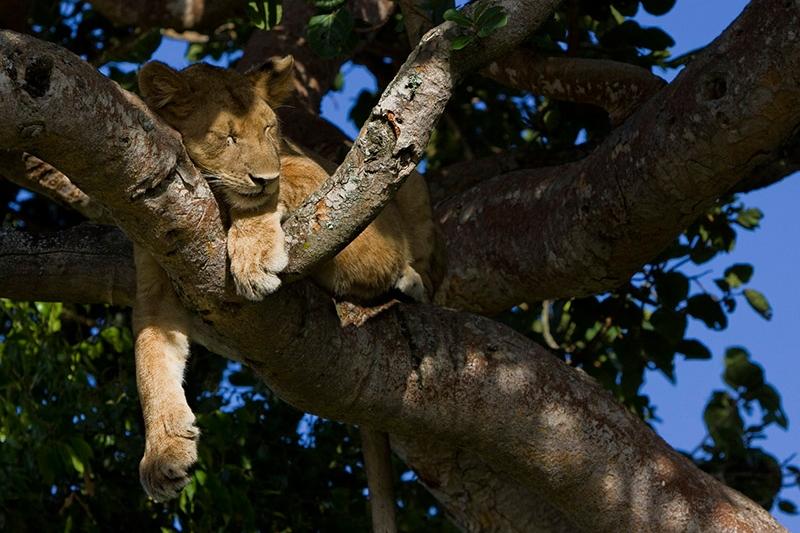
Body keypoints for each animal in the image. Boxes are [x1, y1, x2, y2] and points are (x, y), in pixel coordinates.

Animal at [133, 56, 444, 500]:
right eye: (227, 137)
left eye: (268, 129)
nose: (261, 177)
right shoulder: (153, 289)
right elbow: (150, 363)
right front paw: (162, 455)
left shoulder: (322, 179)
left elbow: (278, 187)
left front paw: (254, 256)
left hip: (414, 185)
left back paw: (411, 281)